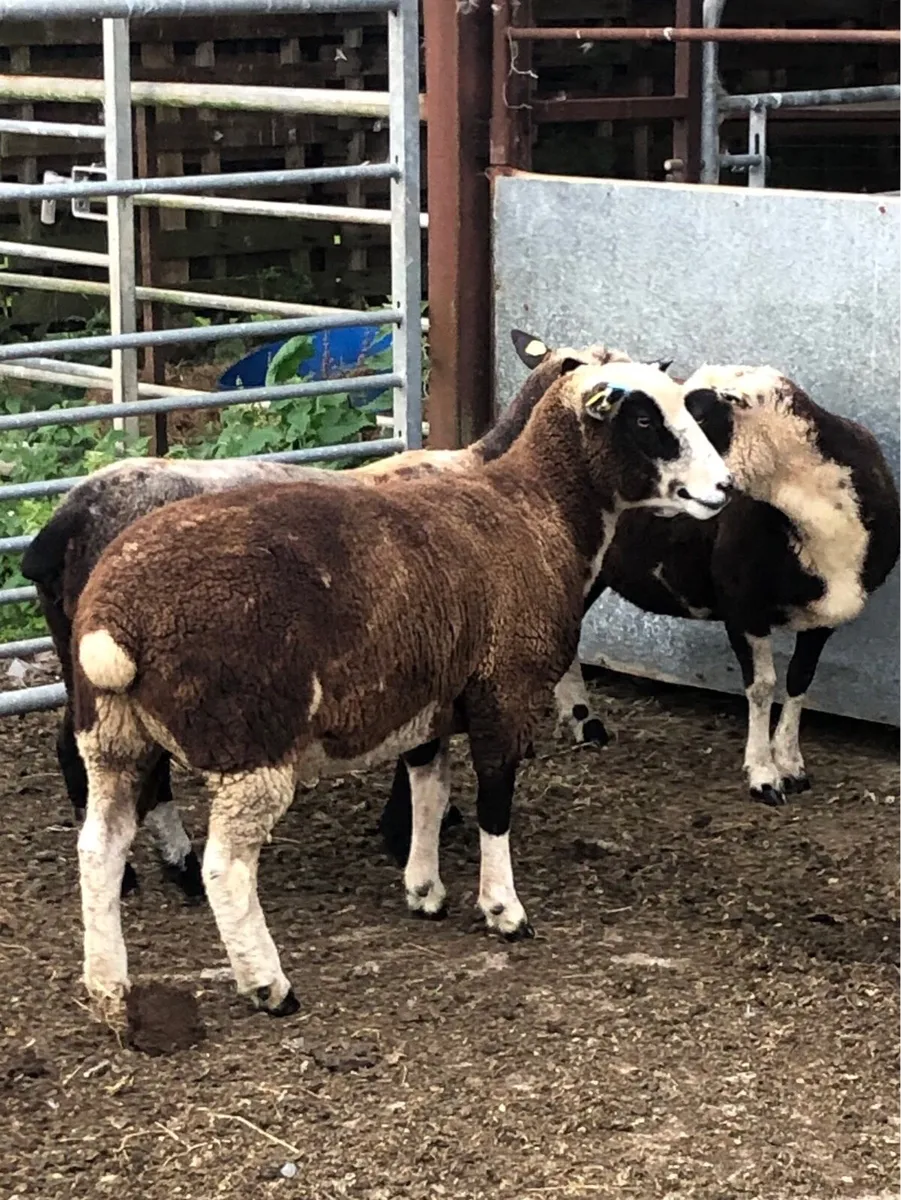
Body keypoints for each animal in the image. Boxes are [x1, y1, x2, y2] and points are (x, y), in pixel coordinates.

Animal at [21, 331, 648, 895]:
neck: (498, 469)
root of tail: (60, 527)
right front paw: (412, 830)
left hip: (83, 663)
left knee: (82, 753)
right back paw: (170, 867)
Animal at [70, 359, 732, 1016]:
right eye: (643, 419)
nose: (724, 487)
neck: (539, 509)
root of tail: (117, 618)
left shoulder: (430, 696)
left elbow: (428, 792)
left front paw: (424, 890)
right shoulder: (505, 689)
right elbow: (495, 803)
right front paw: (503, 910)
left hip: (112, 736)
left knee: (99, 847)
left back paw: (108, 985)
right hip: (249, 743)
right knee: (225, 867)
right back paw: (268, 984)